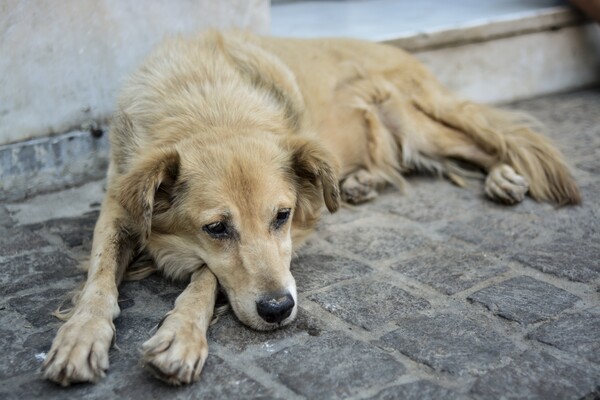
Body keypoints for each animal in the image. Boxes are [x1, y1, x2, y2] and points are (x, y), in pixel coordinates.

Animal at [42, 29, 580, 386]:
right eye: (216, 228)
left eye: (280, 217)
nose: (279, 310)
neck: (207, 104)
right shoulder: (118, 204)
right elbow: (100, 278)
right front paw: (81, 335)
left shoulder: (298, 228)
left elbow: (207, 277)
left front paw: (181, 334)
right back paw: (360, 181)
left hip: (416, 120)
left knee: (489, 143)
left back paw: (505, 175)